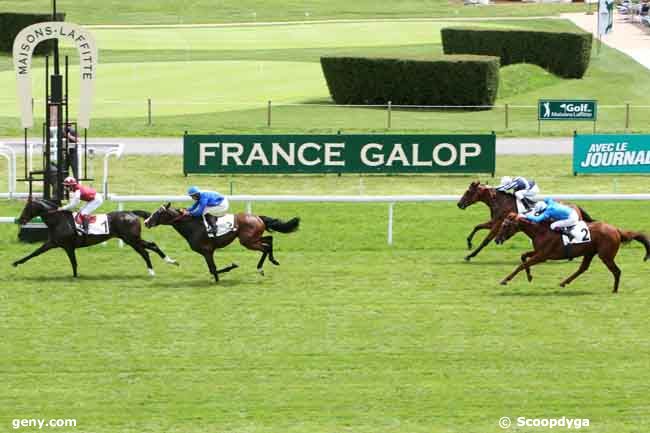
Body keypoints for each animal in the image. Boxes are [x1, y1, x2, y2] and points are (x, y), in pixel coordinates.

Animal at [14, 197, 177, 276]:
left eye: (27, 208)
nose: (20, 220)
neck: (59, 219)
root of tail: (131, 212)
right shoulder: (54, 243)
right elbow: (35, 253)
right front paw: (16, 262)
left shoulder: (66, 246)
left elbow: (73, 262)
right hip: (131, 239)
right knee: (151, 246)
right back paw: (170, 261)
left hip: (131, 239)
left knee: (145, 251)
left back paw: (153, 270)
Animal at [143, 202, 300, 280]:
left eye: (158, 213)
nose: (146, 222)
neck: (192, 225)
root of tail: (257, 217)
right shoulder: (207, 252)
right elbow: (212, 270)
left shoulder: (207, 251)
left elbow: (213, 269)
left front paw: (231, 267)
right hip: (251, 239)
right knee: (269, 240)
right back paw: (273, 260)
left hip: (247, 242)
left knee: (265, 247)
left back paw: (261, 268)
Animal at [456, 181, 592, 262]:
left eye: (468, 192)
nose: (459, 204)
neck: (500, 202)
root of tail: (576, 206)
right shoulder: (495, 222)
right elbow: (477, 226)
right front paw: (469, 243)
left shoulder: (498, 225)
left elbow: (486, 240)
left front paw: (470, 255)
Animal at [494, 211, 644, 292]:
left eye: (505, 225)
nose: (497, 240)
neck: (541, 231)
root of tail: (616, 229)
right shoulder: (539, 252)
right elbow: (523, 256)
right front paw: (530, 276)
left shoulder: (543, 256)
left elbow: (522, 265)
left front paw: (505, 280)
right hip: (590, 252)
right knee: (583, 268)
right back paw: (563, 282)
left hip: (605, 256)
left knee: (617, 271)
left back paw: (614, 290)